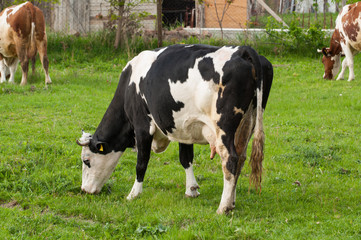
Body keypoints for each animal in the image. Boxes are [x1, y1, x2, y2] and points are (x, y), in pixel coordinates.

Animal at [76, 43, 272, 214]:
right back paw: (231, 202)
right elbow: (185, 158)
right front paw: (191, 189)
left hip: (223, 127)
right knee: (240, 159)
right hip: (248, 123)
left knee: (230, 159)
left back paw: (223, 207)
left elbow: (141, 163)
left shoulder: (142, 126)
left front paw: (133, 194)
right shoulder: (185, 127)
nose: (84, 190)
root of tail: (242, 50)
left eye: (86, 161)